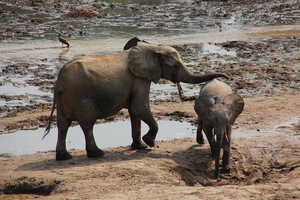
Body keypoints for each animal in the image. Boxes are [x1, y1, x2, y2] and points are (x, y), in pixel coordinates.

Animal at [44, 42, 227, 161]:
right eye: (175, 66)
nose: (225, 77)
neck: (153, 48)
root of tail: (59, 82)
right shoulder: (140, 79)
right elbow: (140, 108)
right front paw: (149, 143)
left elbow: (135, 112)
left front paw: (140, 147)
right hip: (81, 97)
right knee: (87, 124)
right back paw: (97, 154)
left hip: (65, 99)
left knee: (63, 124)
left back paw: (64, 157)